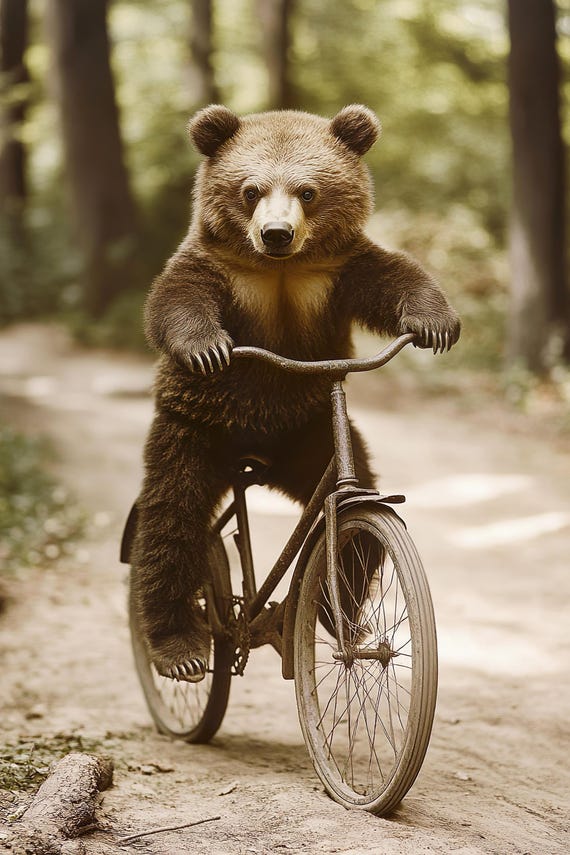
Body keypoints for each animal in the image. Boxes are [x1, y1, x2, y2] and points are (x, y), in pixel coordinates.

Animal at [129, 103, 461, 682]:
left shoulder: (335, 274)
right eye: (250, 189)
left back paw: (337, 616)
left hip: (307, 435)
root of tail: (252, 453)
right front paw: (204, 346)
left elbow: (394, 274)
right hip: (194, 427)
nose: (277, 233)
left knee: (354, 522)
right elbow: (175, 297)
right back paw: (178, 646)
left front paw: (435, 322)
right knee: (170, 519)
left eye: (307, 190)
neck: (279, 271)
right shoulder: (221, 270)